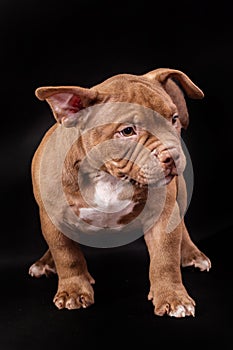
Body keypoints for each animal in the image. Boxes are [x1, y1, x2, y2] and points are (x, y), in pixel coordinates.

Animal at [29, 67, 211, 318]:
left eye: (174, 119)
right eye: (127, 131)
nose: (173, 155)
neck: (110, 176)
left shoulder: (163, 215)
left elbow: (165, 259)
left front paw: (173, 297)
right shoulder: (53, 218)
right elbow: (67, 255)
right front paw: (73, 291)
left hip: (181, 194)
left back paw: (192, 254)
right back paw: (46, 261)